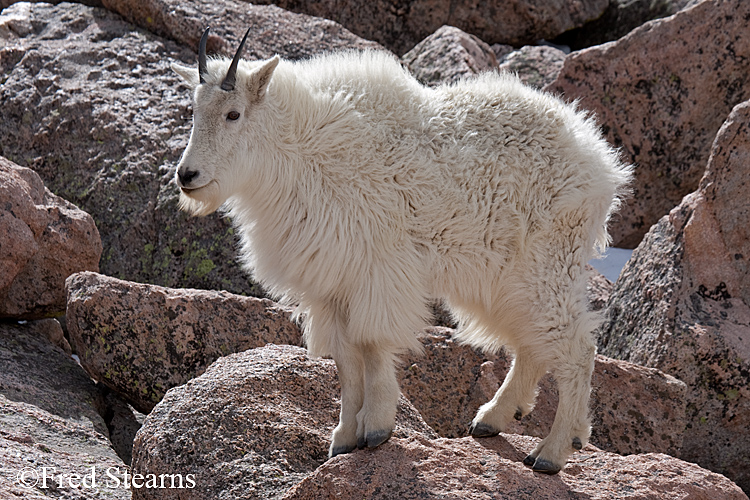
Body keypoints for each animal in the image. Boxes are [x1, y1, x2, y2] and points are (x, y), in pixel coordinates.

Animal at [172, 27, 631, 474]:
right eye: (194, 110)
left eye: (233, 113)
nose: (186, 175)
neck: (299, 150)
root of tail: (602, 165)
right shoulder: (331, 286)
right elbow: (346, 361)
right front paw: (343, 439)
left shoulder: (377, 271)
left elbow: (373, 345)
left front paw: (376, 429)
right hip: (498, 278)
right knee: (533, 345)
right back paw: (493, 419)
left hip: (544, 265)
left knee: (575, 347)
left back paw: (552, 452)